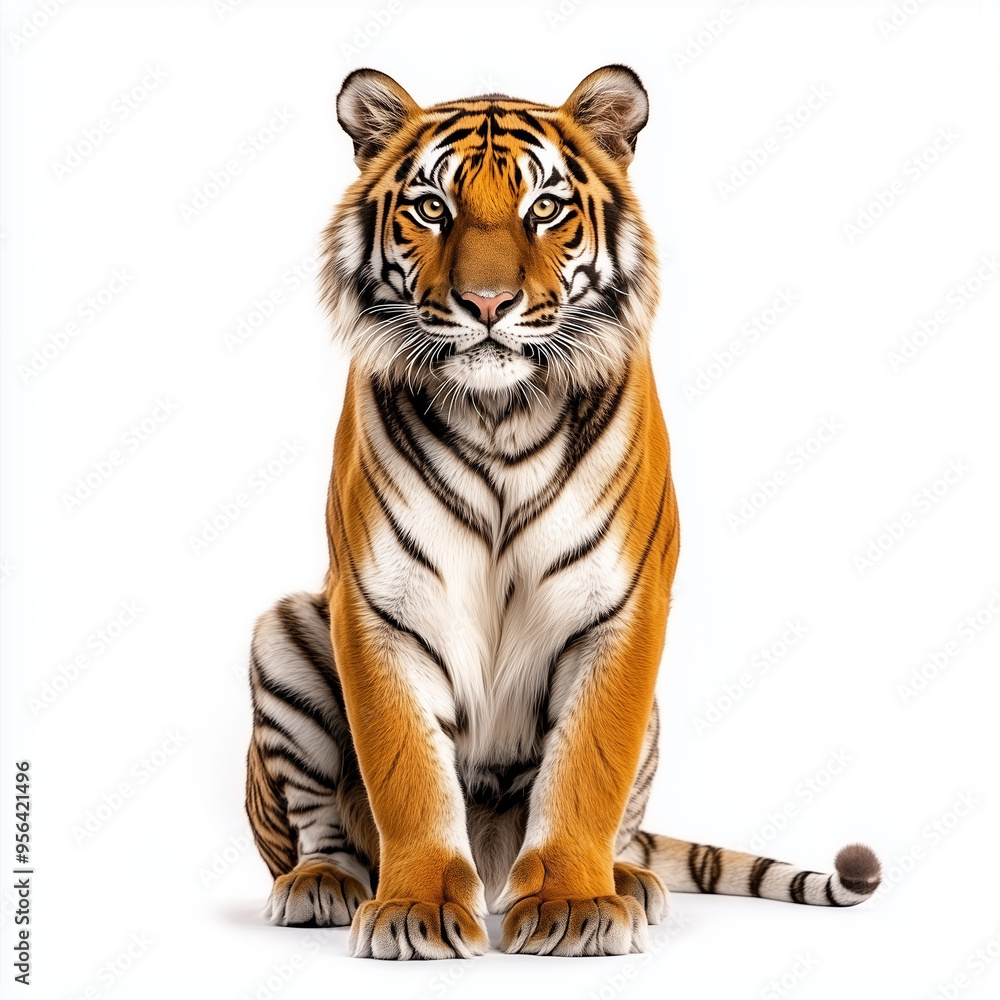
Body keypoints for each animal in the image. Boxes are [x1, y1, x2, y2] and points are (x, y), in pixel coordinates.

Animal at [244, 65, 881, 960]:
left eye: (544, 207)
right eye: (431, 206)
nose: (485, 303)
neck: (499, 412)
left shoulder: (620, 607)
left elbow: (586, 768)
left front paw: (576, 908)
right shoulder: (379, 608)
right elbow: (407, 772)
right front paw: (415, 909)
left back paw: (631, 880)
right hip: (286, 634)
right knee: (313, 833)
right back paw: (322, 885)